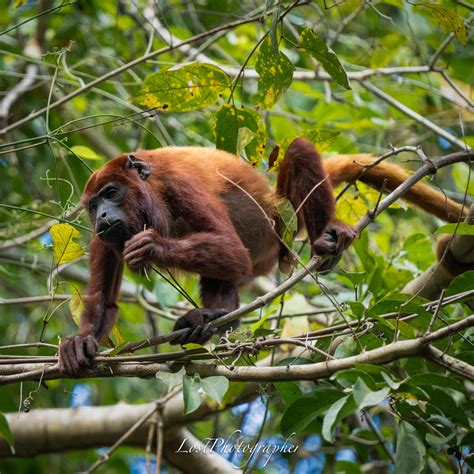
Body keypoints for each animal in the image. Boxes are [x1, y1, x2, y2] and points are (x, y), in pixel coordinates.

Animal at [58, 139, 466, 376]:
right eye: (92, 205)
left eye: (112, 193)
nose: (102, 215)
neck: (147, 193)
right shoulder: (102, 238)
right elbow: (104, 301)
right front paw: (80, 342)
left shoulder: (178, 185)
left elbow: (230, 248)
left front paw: (149, 247)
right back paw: (214, 317)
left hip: (282, 222)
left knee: (299, 150)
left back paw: (330, 235)